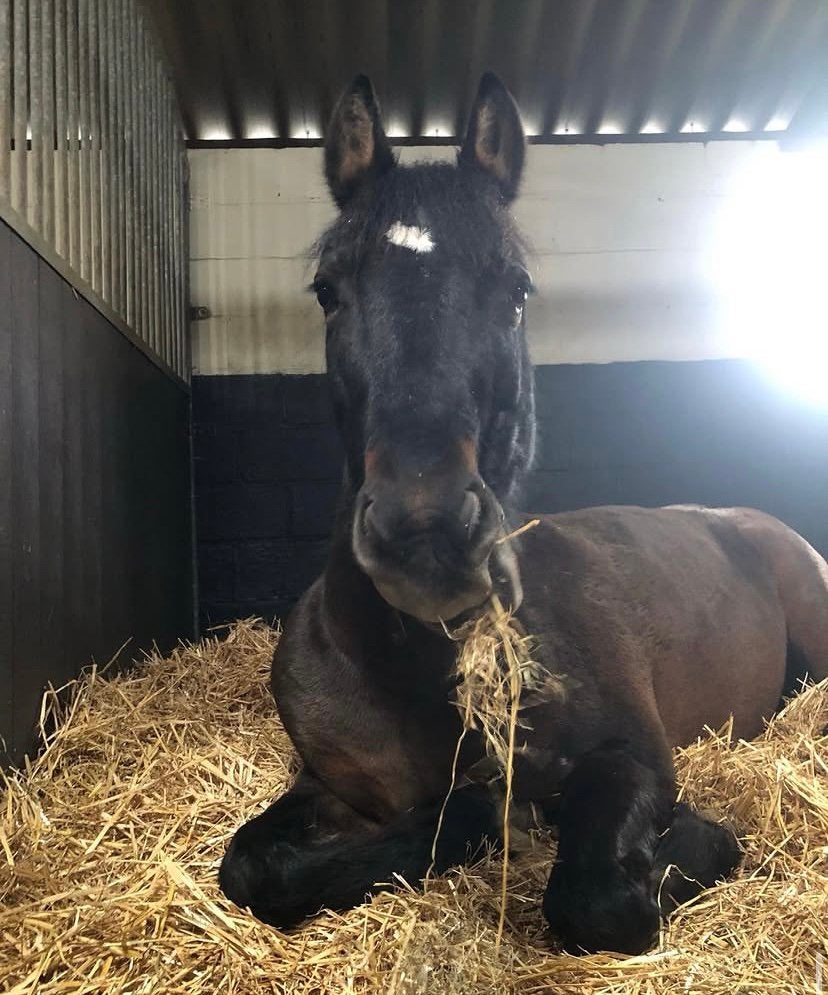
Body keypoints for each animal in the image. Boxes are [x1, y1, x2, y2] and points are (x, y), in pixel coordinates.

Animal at [218, 73, 828, 954]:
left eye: (516, 290)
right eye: (328, 290)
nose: (424, 528)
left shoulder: (631, 754)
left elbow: (601, 897)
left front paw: (696, 837)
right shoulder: (331, 781)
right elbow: (253, 866)